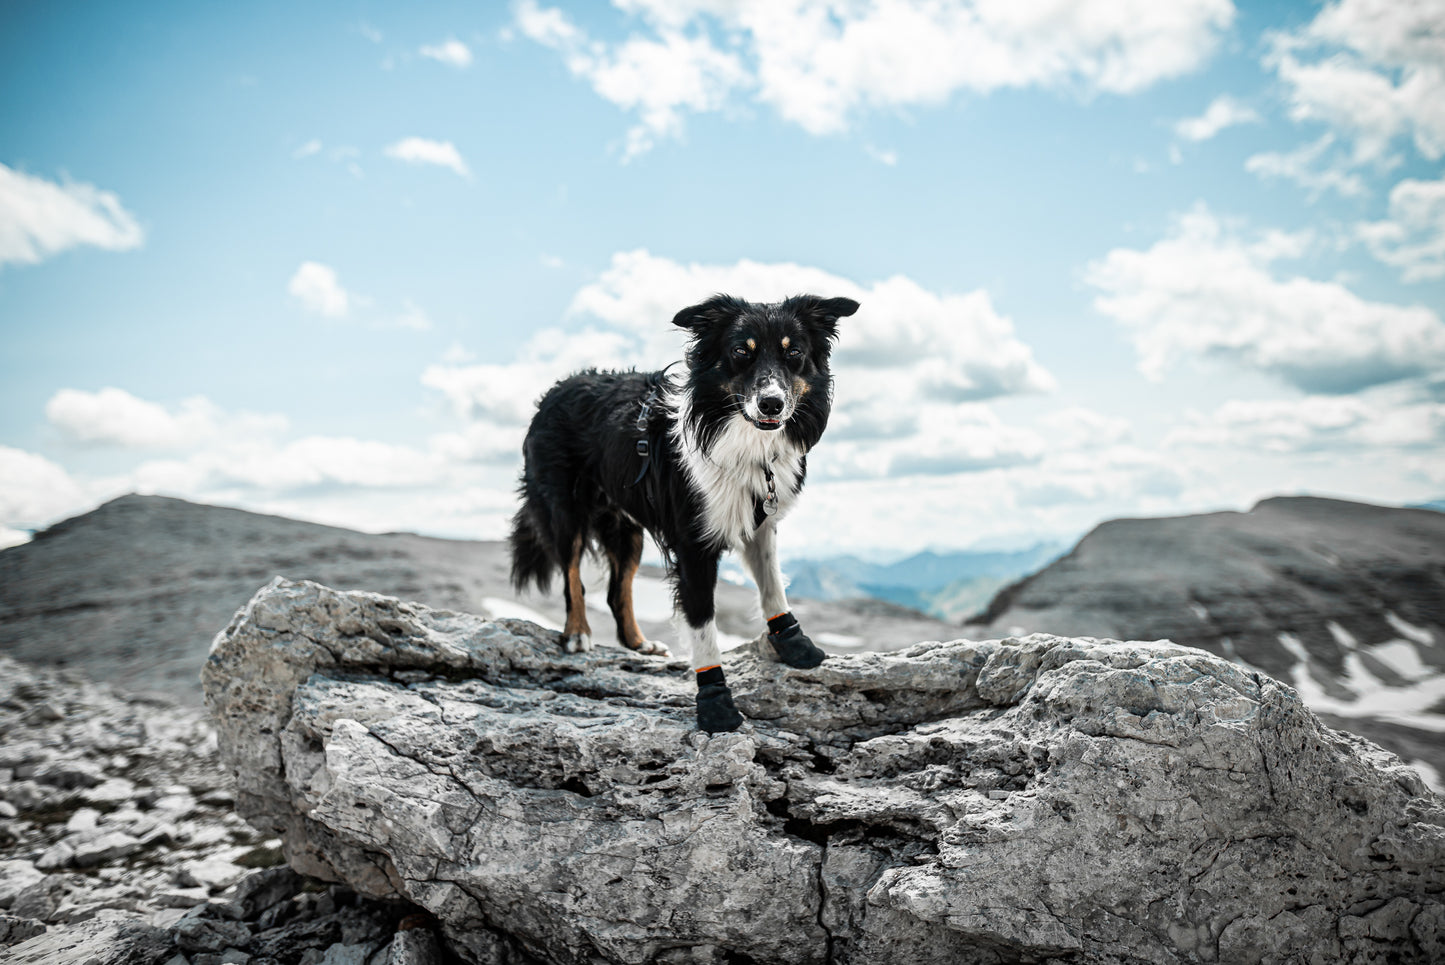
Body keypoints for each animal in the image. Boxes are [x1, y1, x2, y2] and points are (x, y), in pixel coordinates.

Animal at [508, 294, 855, 730]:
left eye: (794, 353)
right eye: (741, 352)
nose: (772, 403)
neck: (741, 439)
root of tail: (558, 388)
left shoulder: (759, 524)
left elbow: (773, 586)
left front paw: (796, 645)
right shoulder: (694, 545)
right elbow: (703, 625)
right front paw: (715, 704)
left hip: (626, 529)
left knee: (616, 591)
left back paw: (638, 643)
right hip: (565, 510)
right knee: (573, 576)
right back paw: (577, 633)